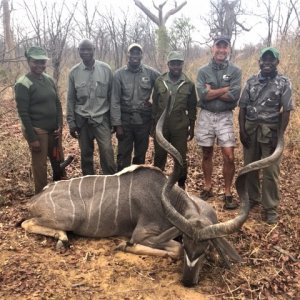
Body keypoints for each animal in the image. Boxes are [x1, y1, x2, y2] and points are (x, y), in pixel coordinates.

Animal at [21, 103, 284, 288]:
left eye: (206, 247)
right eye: (187, 242)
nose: (188, 281)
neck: (170, 198)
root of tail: (35, 199)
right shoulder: (143, 233)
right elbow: (166, 249)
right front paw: (124, 246)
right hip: (70, 218)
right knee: (28, 223)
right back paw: (62, 239)